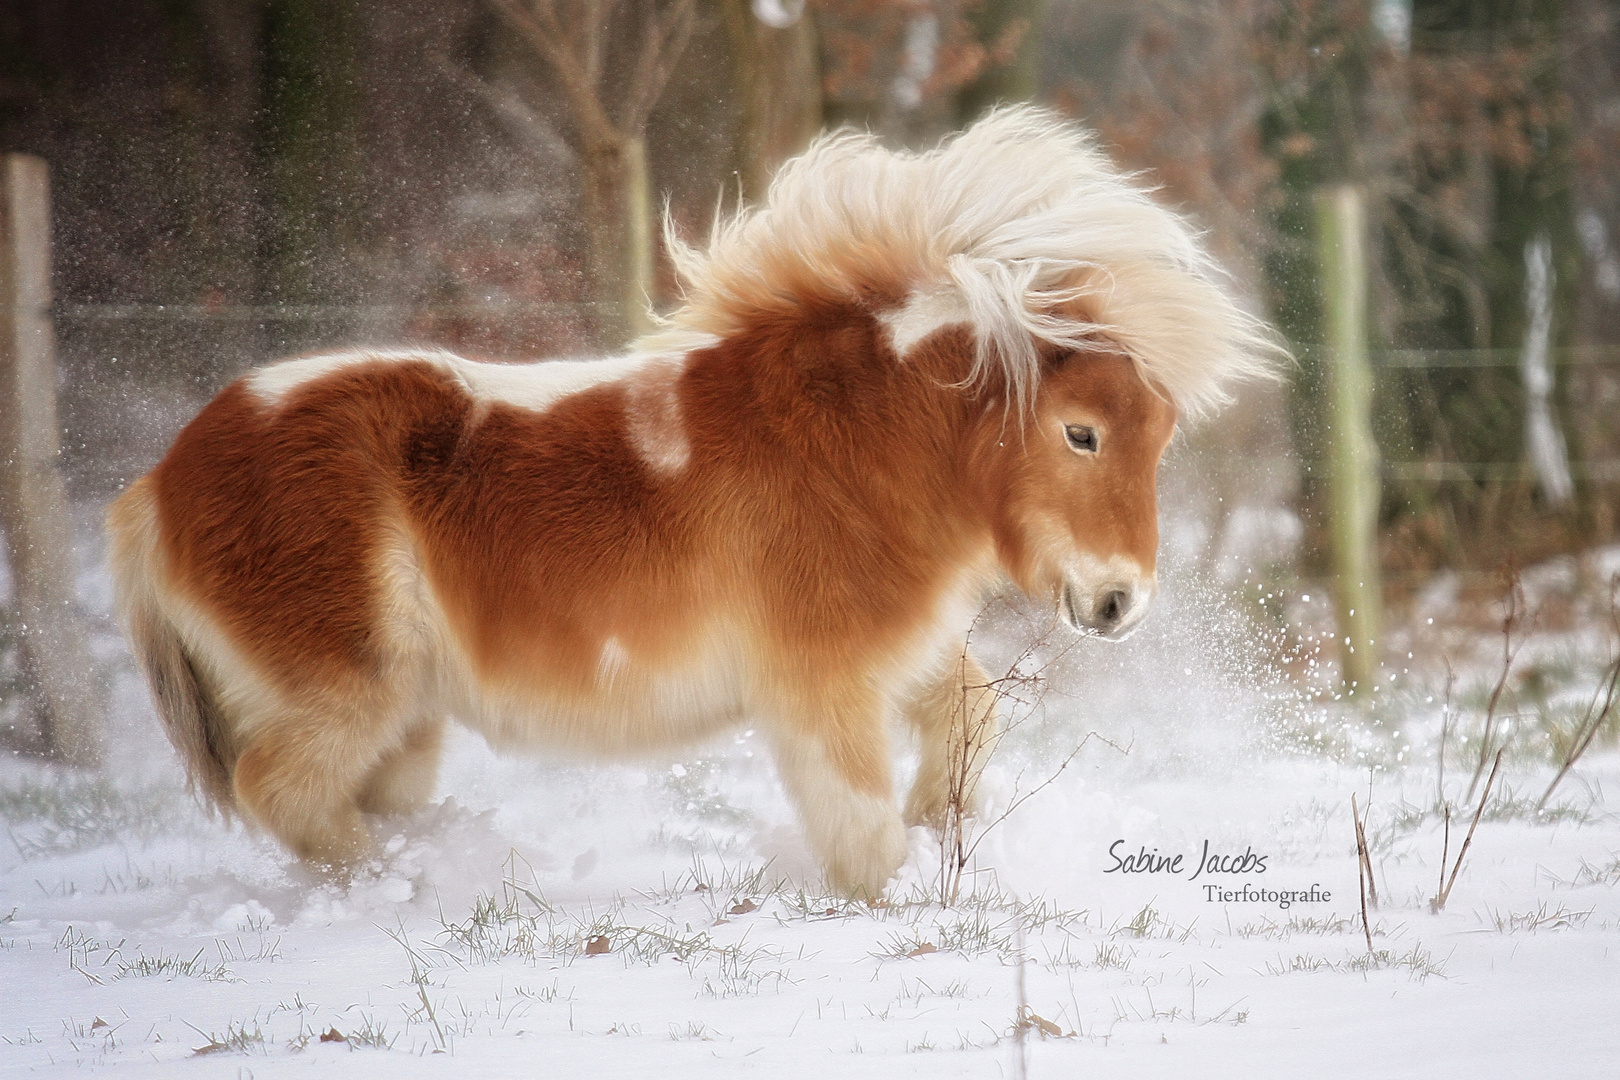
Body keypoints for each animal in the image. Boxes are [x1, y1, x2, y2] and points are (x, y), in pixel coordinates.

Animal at [110, 107, 1276, 893]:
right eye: (1080, 432)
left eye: (1163, 437)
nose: (1121, 603)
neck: (854, 444)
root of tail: (158, 488)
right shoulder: (820, 683)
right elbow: (856, 818)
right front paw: (894, 889)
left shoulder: (901, 650)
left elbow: (970, 716)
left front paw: (943, 830)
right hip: (346, 694)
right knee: (283, 793)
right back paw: (399, 888)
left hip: (405, 725)